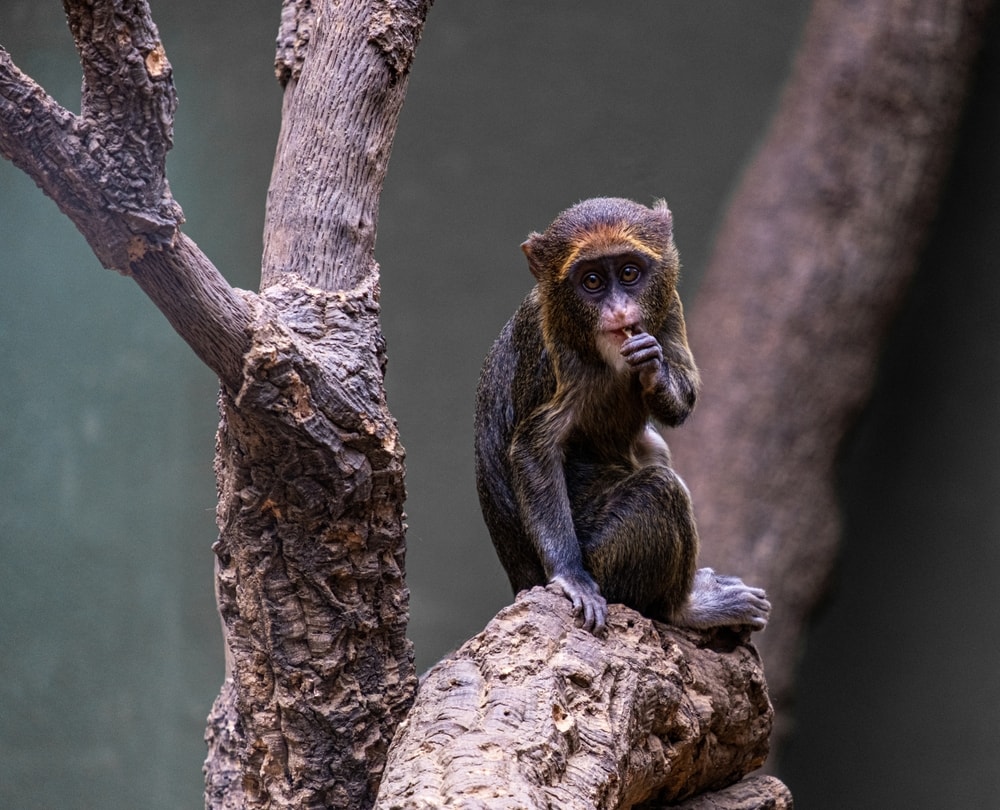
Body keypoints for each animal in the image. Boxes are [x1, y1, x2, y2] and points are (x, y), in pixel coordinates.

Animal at [474, 197, 770, 634]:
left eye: (629, 273)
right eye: (592, 282)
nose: (619, 311)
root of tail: (521, 582)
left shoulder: (670, 307)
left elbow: (686, 395)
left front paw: (655, 372)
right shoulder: (554, 353)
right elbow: (533, 449)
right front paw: (571, 577)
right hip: (606, 563)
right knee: (660, 491)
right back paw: (687, 608)